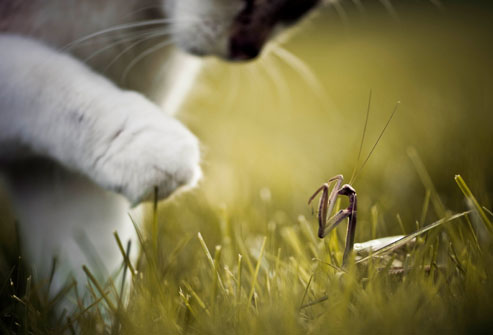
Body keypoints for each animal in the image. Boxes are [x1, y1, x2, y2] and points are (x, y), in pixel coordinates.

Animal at [0, 0, 320, 294]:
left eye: (299, 8)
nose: (246, 50)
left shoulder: (57, 178)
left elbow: (85, 268)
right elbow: (40, 73)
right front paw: (144, 145)